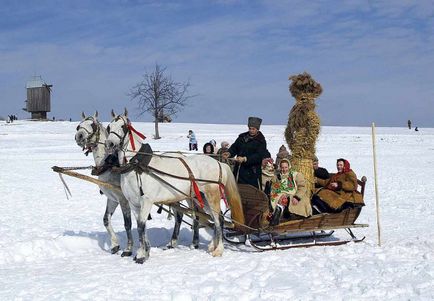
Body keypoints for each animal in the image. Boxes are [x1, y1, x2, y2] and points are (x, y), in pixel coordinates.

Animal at [74, 112, 133, 255]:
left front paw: (128, 249)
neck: (109, 165)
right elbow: (106, 220)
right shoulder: (112, 199)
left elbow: (128, 224)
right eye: (79, 125)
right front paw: (115, 245)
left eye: (92, 125)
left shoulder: (123, 200)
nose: (79, 136)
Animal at [103, 108, 242, 262]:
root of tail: (218, 163)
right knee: (213, 219)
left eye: (123, 127)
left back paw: (218, 250)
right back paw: (212, 245)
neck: (137, 165)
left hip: (212, 196)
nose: (109, 144)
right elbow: (140, 226)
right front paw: (143, 251)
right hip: (201, 198)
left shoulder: (146, 201)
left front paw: (141, 255)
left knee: (219, 220)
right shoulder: (133, 203)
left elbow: (140, 226)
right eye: (109, 127)